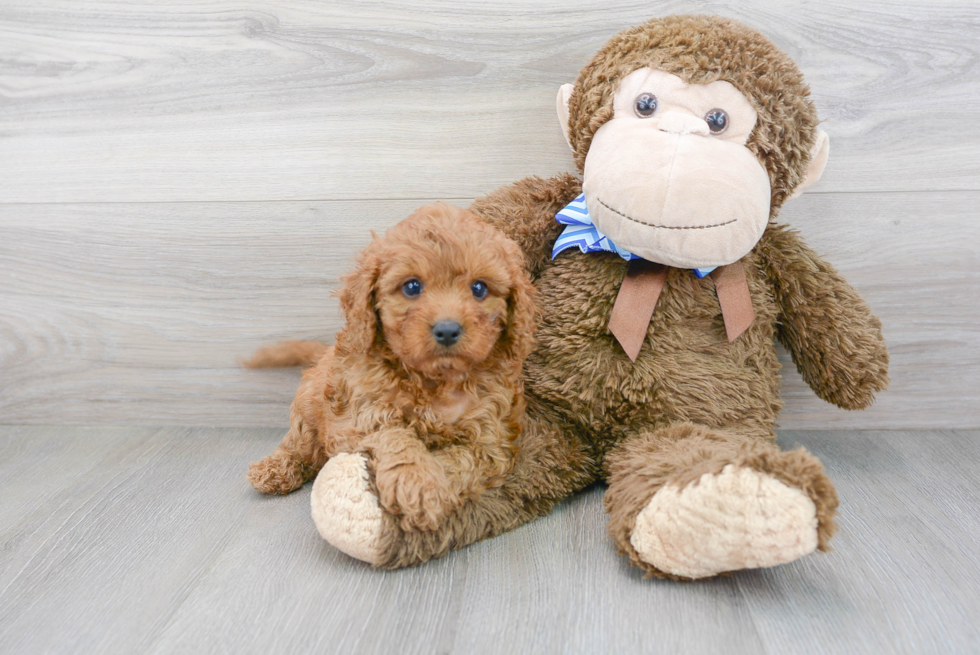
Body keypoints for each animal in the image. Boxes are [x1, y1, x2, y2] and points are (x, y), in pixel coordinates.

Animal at [245, 205, 536, 532]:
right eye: (412, 286)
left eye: (479, 288)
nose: (447, 330)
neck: (436, 382)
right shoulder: (361, 415)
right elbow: (395, 435)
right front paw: (415, 480)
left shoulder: (491, 440)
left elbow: (457, 460)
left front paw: (425, 491)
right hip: (308, 409)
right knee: (298, 444)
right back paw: (274, 469)